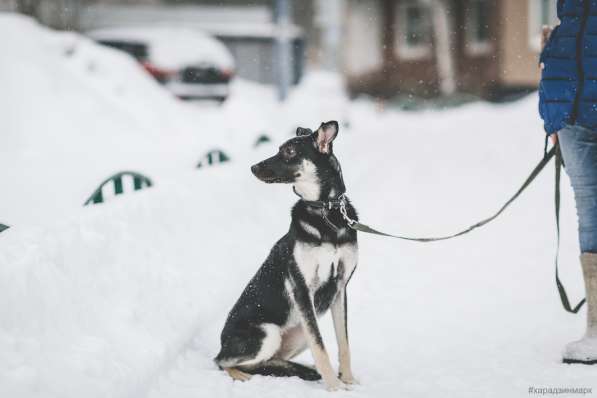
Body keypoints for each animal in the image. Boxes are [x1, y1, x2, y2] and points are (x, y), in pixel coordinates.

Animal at [214, 120, 358, 388]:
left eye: (290, 151)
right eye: (279, 149)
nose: (253, 167)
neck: (325, 212)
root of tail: (222, 344)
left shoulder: (340, 287)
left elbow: (343, 342)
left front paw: (348, 380)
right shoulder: (302, 289)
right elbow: (321, 346)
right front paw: (334, 386)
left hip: (298, 331)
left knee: (264, 360)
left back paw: (299, 369)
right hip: (268, 332)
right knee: (222, 361)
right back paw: (241, 375)